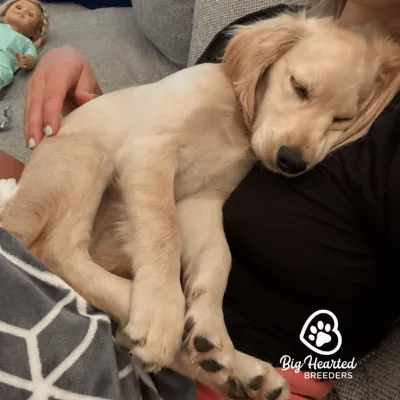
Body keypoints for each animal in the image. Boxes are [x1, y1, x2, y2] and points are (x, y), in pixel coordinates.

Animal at [0, 12, 400, 400]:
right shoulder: (150, 150)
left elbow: (218, 258)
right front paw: (161, 312)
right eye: (300, 87)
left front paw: (208, 324)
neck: (234, 122)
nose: (292, 162)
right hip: (89, 153)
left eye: (342, 119)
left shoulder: (203, 200)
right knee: (59, 251)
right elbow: (164, 233)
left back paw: (240, 372)